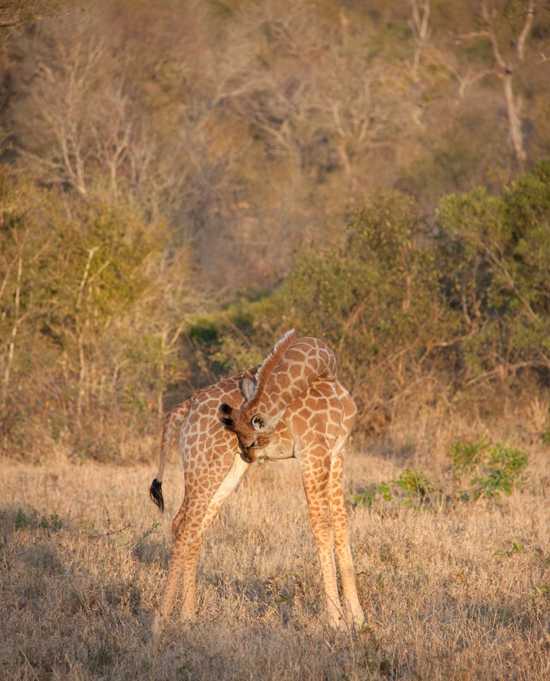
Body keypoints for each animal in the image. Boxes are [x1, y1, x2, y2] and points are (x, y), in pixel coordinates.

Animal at [151, 330, 366, 644]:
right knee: (185, 523)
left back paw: (189, 618)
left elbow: (341, 525)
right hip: (205, 464)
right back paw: (161, 621)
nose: (251, 451)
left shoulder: (338, 454)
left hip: (228, 470)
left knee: (192, 525)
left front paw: (359, 620)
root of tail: (186, 407)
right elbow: (322, 528)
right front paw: (336, 622)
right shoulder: (312, 455)